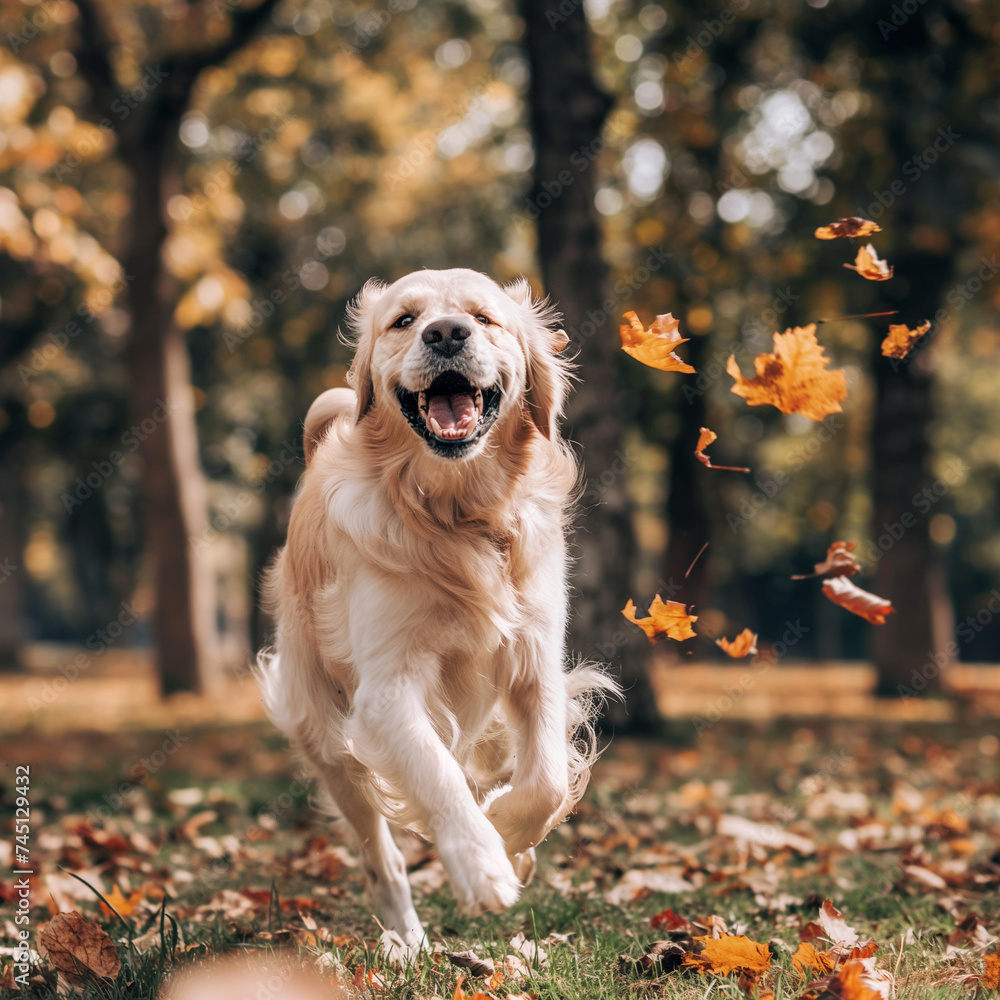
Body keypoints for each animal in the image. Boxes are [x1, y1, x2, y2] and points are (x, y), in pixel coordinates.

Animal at [256, 266, 616, 960]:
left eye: (484, 317)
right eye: (403, 320)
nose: (446, 333)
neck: (458, 515)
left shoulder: (535, 662)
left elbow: (547, 780)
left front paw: (508, 833)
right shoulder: (386, 691)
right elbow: (438, 774)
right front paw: (481, 864)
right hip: (325, 736)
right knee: (381, 855)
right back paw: (408, 936)